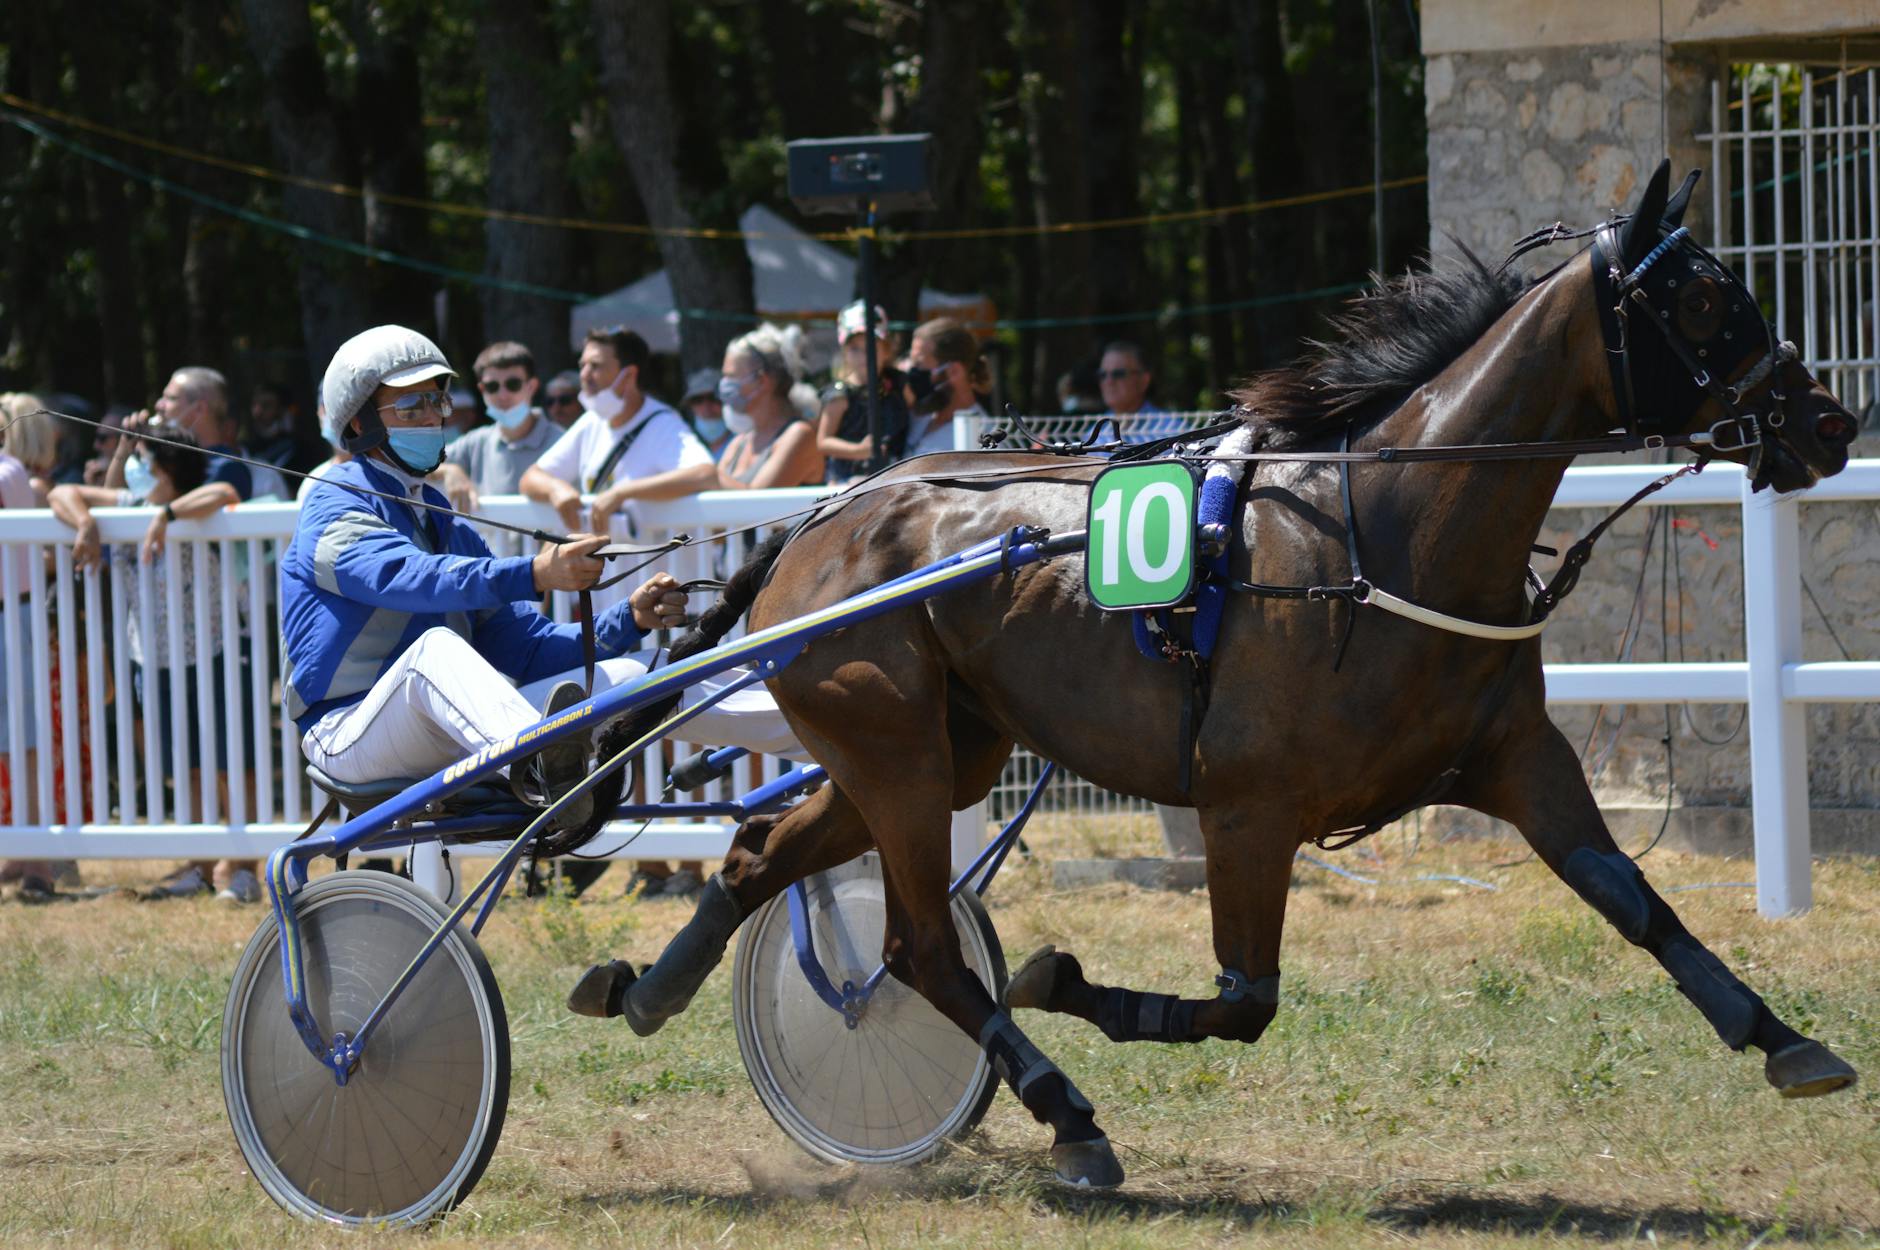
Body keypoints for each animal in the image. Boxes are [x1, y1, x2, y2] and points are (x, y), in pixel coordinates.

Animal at [575, 160, 1864, 1187]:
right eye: (1701, 299)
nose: (1826, 422)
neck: (1386, 530)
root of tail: (816, 521)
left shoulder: (1513, 757)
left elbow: (1634, 899)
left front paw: (1784, 1039)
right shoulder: (1249, 806)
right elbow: (1243, 999)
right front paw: (1061, 975)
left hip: (938, 752)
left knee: (762, 850)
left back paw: (648, 986)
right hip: (891, 748)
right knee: (920, 947)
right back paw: (1067, 1115)